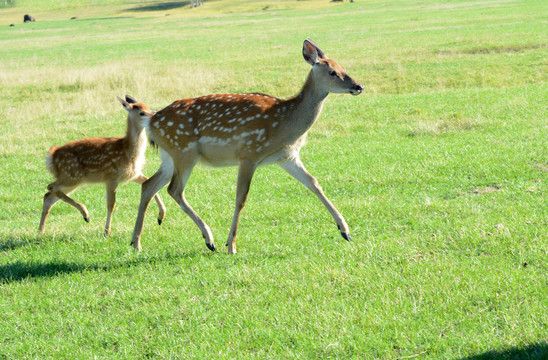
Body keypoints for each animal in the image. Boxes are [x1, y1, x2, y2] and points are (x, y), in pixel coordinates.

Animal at [38, 95, 165, 236]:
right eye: (142, 113)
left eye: (150, 108)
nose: (155, 116)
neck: (128, 151)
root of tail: (51, 156)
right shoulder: (111, 176)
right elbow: (111, 204)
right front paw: (106, 232)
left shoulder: (133, 174)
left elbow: (148, 182)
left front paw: (161, 217)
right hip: (71, 175)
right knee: (50, 187)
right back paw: (85, 214)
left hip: (71, 180)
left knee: (48, 197)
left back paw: (40, 231)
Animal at [133, 39, 364, 253]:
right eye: (332, 72)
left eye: (344, 67)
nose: (358, 86)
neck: (286, 124)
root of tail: (151, 120)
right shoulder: (249, 153)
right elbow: (241, 198)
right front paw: (231, 245)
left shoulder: (287, 157)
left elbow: (314, 183)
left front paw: (345, 230)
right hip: (184, 151)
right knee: (175, 189)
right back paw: (209, 239)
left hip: (169, 155)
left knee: (149, 185)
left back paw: (136, 242)